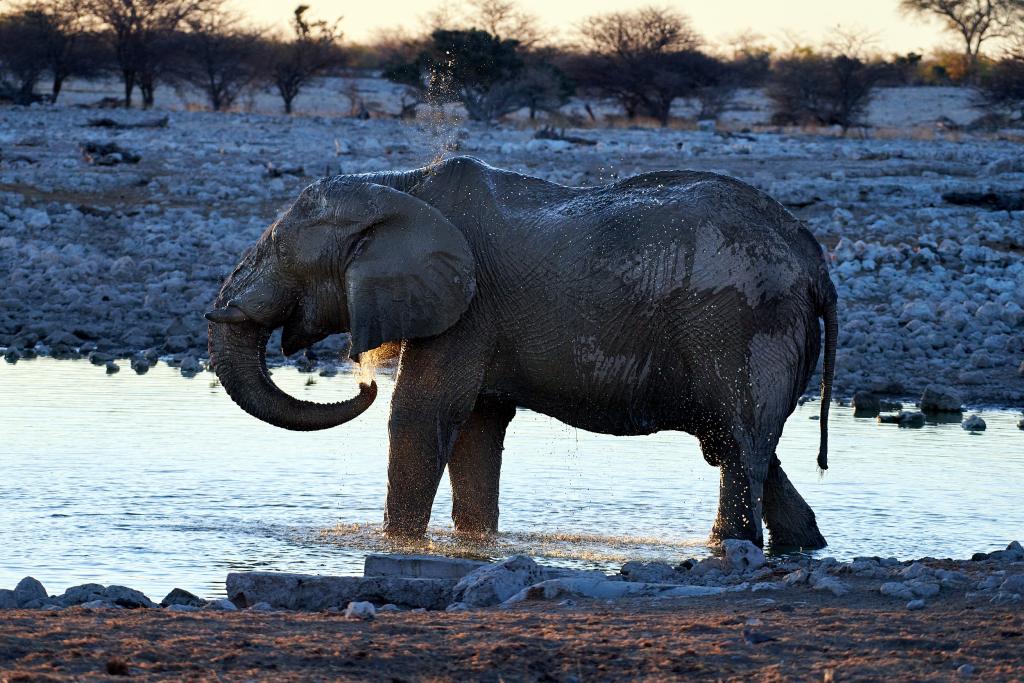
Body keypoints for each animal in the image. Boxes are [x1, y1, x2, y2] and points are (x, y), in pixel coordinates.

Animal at [203, 156, 835, 548]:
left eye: (280, 251)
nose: (363, 381)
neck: (401, 187)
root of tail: (815, 263)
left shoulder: (467, 304)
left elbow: (421, 415)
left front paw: (398, 545)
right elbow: (478, 427)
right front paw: (475, 545)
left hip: (743, 324)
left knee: (737, 445)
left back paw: (729, 547)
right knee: (747, 449)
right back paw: (801, 545)